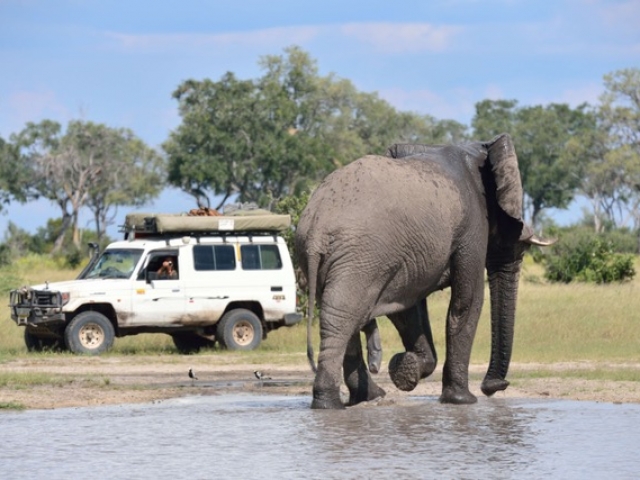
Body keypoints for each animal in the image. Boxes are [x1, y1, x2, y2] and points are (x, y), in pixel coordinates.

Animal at [296, 132, 552, 408]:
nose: (494, 386)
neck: (478, 149)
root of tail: (317, 228)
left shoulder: (406, 254)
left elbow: (409, 308)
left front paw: (405, 369)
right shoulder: (471, 225)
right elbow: (467, 302)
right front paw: (462, 400)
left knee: (340, 316)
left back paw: (366, 397)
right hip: (361, 255)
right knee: (342, 318)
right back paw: (332, 403)